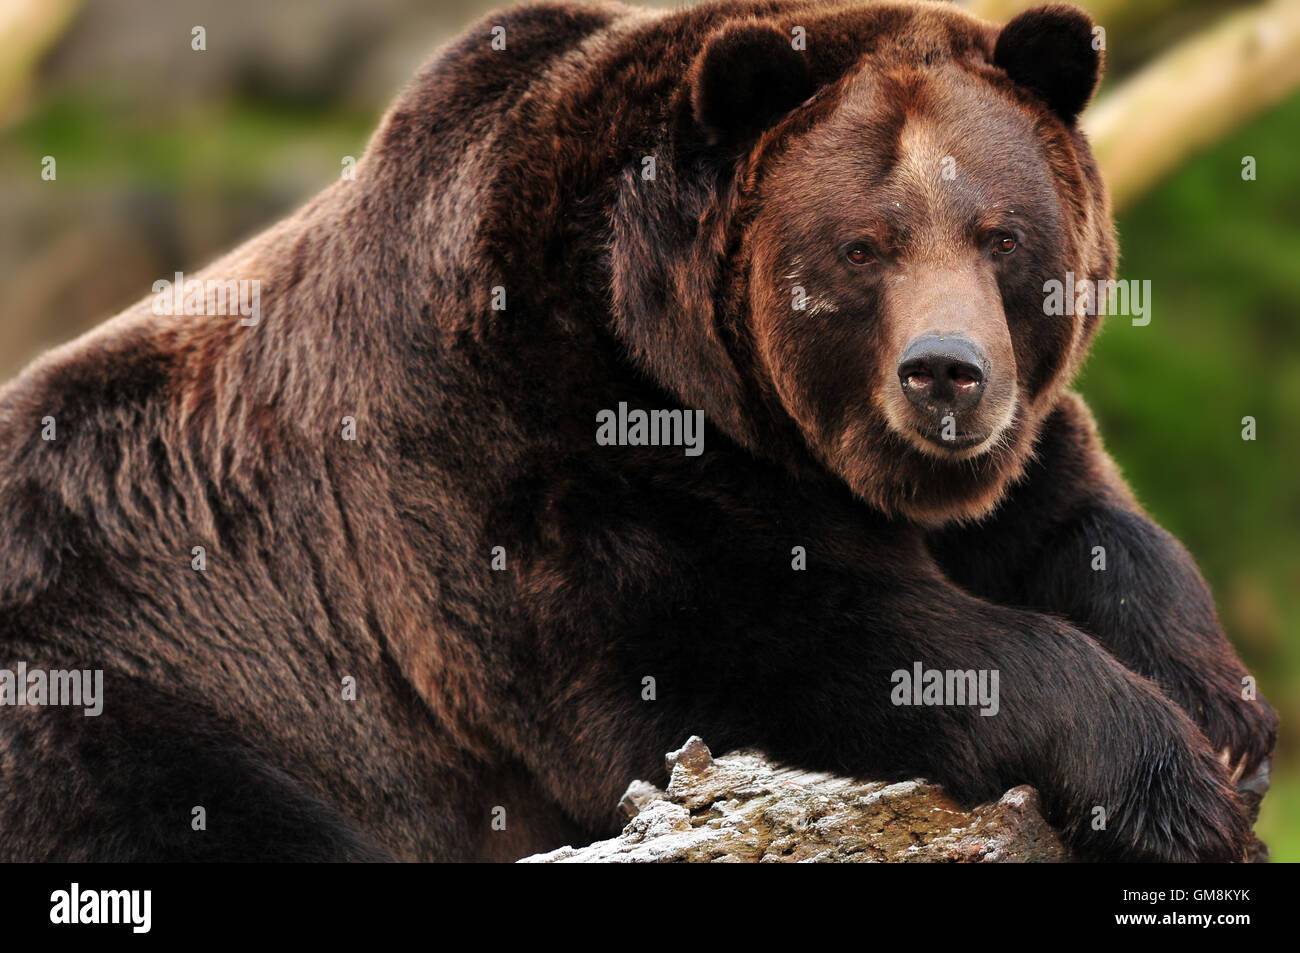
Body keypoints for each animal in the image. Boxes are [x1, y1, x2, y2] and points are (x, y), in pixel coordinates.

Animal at [0, 0, 1279, 863]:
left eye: (999, 232)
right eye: (862, 245)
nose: (944, 375)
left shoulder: (995, 451)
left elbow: (1087, 523)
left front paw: (1225, 715)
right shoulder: (534, 461)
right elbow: (775, 644)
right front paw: (1168, 779)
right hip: (117, 687)